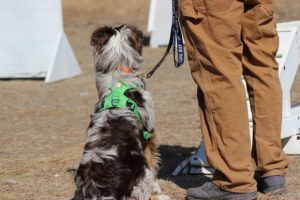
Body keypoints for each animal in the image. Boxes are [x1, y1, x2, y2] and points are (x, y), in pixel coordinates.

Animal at [72, 24, 170, 200]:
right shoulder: (149, 134)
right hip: (141, 171)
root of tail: (98, 191)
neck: (118, 80)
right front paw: (157, 187)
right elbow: (152, 162)